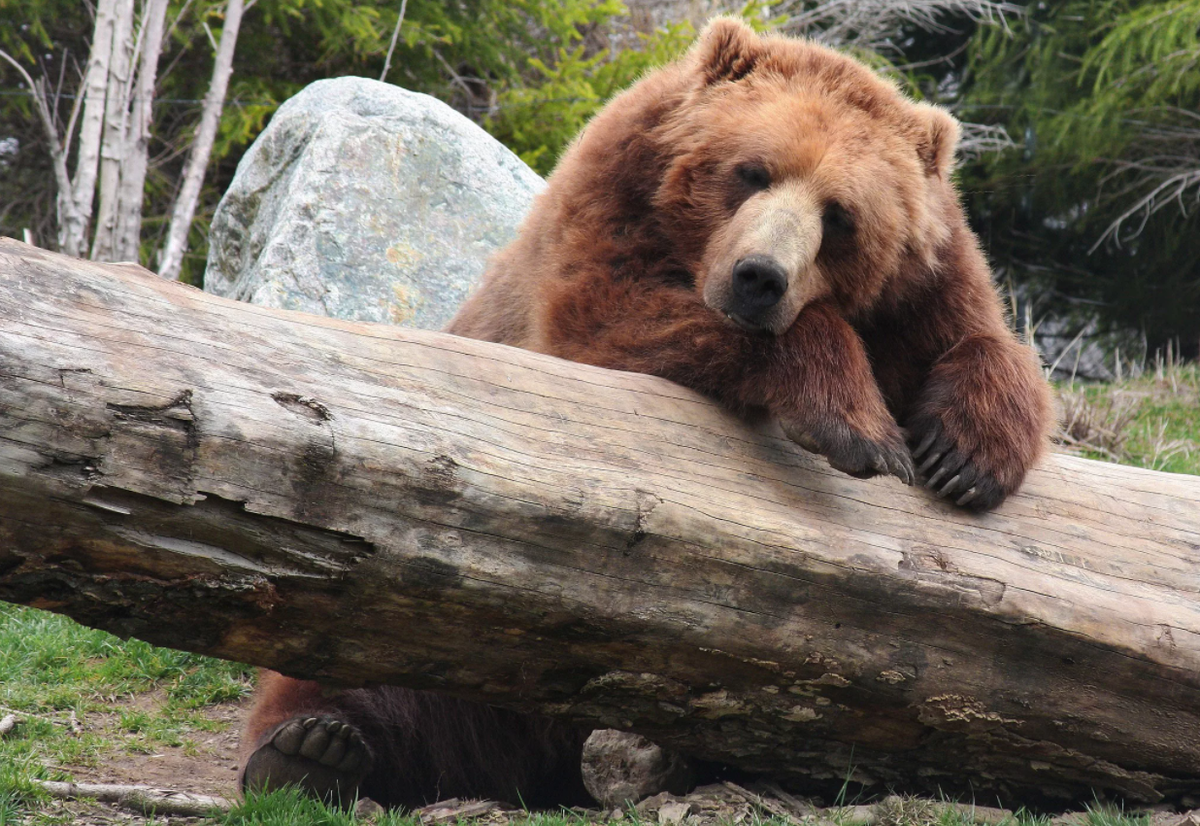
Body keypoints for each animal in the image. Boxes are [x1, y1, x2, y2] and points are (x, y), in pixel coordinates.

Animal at [236, 16, 1051, 811]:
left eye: (841, 215)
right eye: (752, 171)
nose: (760, 278)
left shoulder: (924, 292)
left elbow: (985, 339)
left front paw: (966, 453)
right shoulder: (608, 215)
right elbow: (613, 322)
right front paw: (859, 425)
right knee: (373, 661)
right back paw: (312, 747)